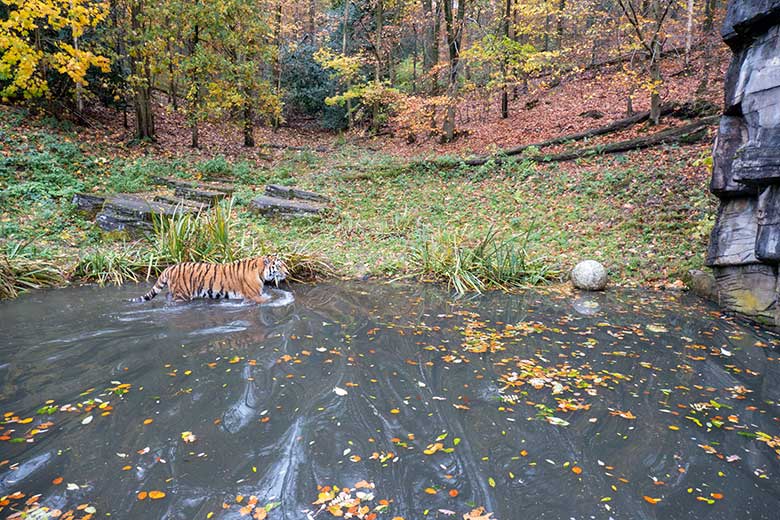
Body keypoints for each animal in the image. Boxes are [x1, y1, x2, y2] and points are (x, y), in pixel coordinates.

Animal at [131, 254, 290, 302]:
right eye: (279, 265)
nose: (288, 272)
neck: (260, 272)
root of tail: (170, 267)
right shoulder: (254, 296)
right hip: (182, 294)